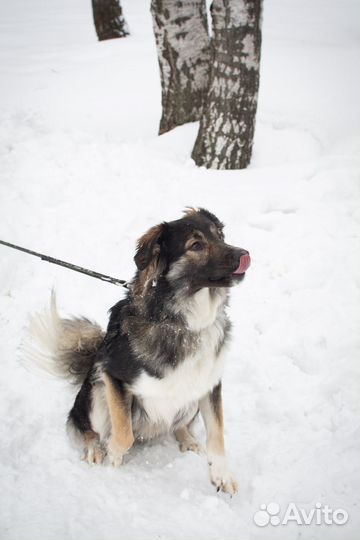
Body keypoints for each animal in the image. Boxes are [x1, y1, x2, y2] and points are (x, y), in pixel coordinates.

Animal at [28, 208, 250, 494]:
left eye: (220, 235)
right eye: (196, 245)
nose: (244, 254)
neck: (183, 324)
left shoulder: (209, 382)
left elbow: (217, 432)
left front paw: (221, 474)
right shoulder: (113, 375)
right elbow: (124, 434)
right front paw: (113, 454)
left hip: (190, 399)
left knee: (179, 424)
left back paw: (188, 439)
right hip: (97, 390)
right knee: (84, 426)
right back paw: (94, 448)